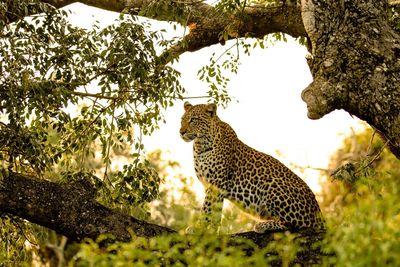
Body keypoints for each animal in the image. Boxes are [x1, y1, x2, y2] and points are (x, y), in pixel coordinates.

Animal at [178, 101, 324, 233]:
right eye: (182, 120)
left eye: (193, 120)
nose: (181, 132)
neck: (200, 145)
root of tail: (319, 214)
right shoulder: (212, 186)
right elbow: (215, 212)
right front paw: (211, 232)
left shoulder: (216, 183)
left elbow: (207, 208)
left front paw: (198, 228)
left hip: (272, 185)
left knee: (294, 224)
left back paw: (262, 226)